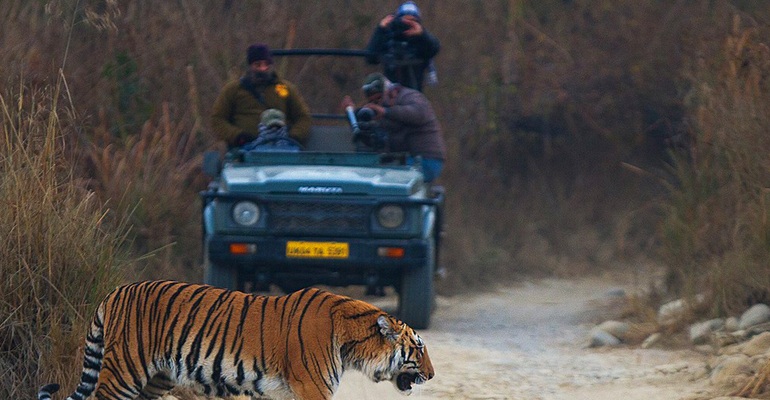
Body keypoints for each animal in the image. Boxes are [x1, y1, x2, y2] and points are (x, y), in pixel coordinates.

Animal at [37, 282, 432, 400]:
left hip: (156, 379)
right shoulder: (312, 389)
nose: (431, 375)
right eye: (418, 347)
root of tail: (115, 291)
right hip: (124, 371)